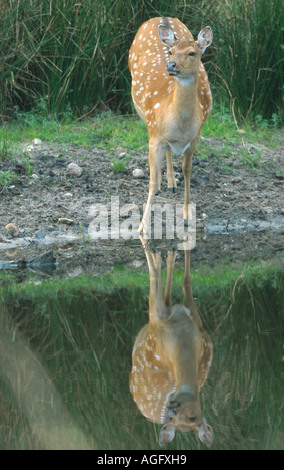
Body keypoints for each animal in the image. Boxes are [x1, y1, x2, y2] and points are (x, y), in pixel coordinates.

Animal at [129, 17, 213, 235]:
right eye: (171, 52)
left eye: (192, 53)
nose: (171, 65)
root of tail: (160, 17)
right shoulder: (154, 136)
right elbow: (151, 181)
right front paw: (142, 227)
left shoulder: (195, 137)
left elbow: (187, 171)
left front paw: (187, 216)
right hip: (144, 117)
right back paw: (165, 182)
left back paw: (172, 182)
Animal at [129, 242, 213, 448]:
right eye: (175, 419)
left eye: (192, 418)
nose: (170, 412)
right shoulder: (158, 318)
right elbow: (183, 282)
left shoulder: (194, 319)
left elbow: (186, 282)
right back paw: (161, 254)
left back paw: (165, 255)